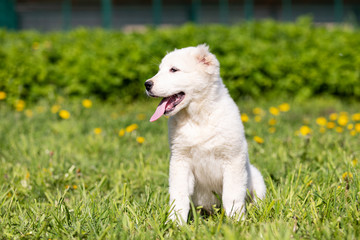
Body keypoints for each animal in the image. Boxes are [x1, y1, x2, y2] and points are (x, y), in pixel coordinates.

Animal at [145, 44, 266, 224]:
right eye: (159, 70)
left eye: (174, 70)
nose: (147, 84)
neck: (197, 118)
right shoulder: (180, 161)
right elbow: (179, 195)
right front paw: (175, 223)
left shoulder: (233, 159)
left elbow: (232, 195)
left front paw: (236, 222)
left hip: (256, 177)